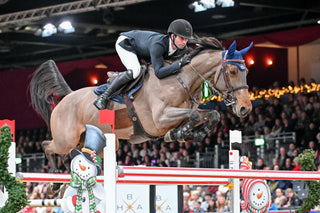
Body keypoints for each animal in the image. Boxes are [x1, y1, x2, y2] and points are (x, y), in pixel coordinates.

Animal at [29, 37, 252, 179]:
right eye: (233, 71)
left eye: (247, 71)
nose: (245, 108)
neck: (180, 81)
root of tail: (67, 97)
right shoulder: (159, 120)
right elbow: (194, 116)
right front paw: (180, 134)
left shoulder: (181, 114)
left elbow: (211, 114)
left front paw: (191, 134)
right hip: (65, 139)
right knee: (47, 146)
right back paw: (54, 175)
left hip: (98, 141)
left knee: (74, 154)